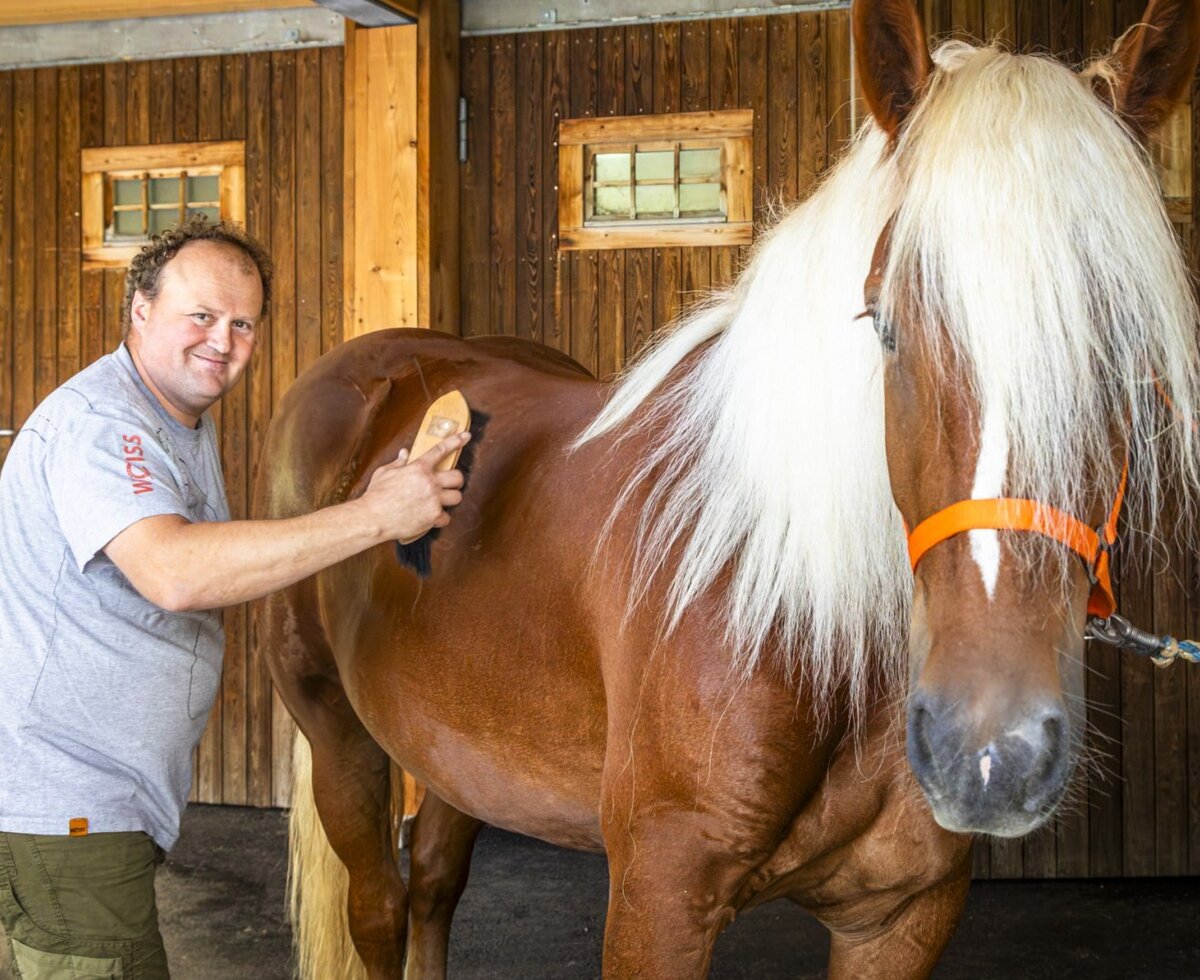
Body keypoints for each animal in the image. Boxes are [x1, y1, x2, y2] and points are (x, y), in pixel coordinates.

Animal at [253, 0, 1200, 976]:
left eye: (1131, 342)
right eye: (884, 324)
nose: (990, 753)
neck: (791, 603)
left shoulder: (901, 915)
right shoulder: (660, 899)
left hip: (455, 750)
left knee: (435, 885)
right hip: (338, 731)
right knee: (379, 909)